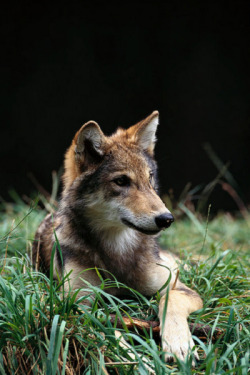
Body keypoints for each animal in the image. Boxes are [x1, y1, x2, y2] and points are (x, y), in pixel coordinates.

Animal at [32, 111, 203, 362]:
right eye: (121, 181)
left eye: (150, 178)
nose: (166, 219)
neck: (119, 250)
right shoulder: (75, 304)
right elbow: (108, 327)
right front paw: (135, 358)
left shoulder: (179, 288)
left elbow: (170, 301)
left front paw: (179, 343)